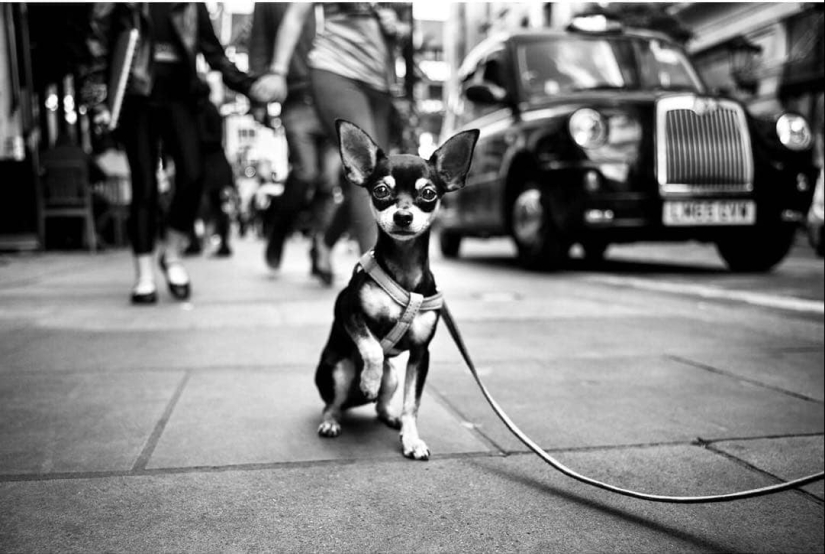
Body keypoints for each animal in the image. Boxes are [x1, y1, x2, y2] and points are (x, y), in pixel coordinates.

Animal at [318, 119, 482, 458]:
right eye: (381, 191)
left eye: (428, 194)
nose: (403, 216)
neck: (404, 270)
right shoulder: (350, 312)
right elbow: (371, 349)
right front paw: (369, 381)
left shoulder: (421, 355)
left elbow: (412, 404)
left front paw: (412, 439)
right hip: (337, 369)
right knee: (333, 402)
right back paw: (332, 419)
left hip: (393, 376)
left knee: (381, 403)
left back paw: (391, 419)